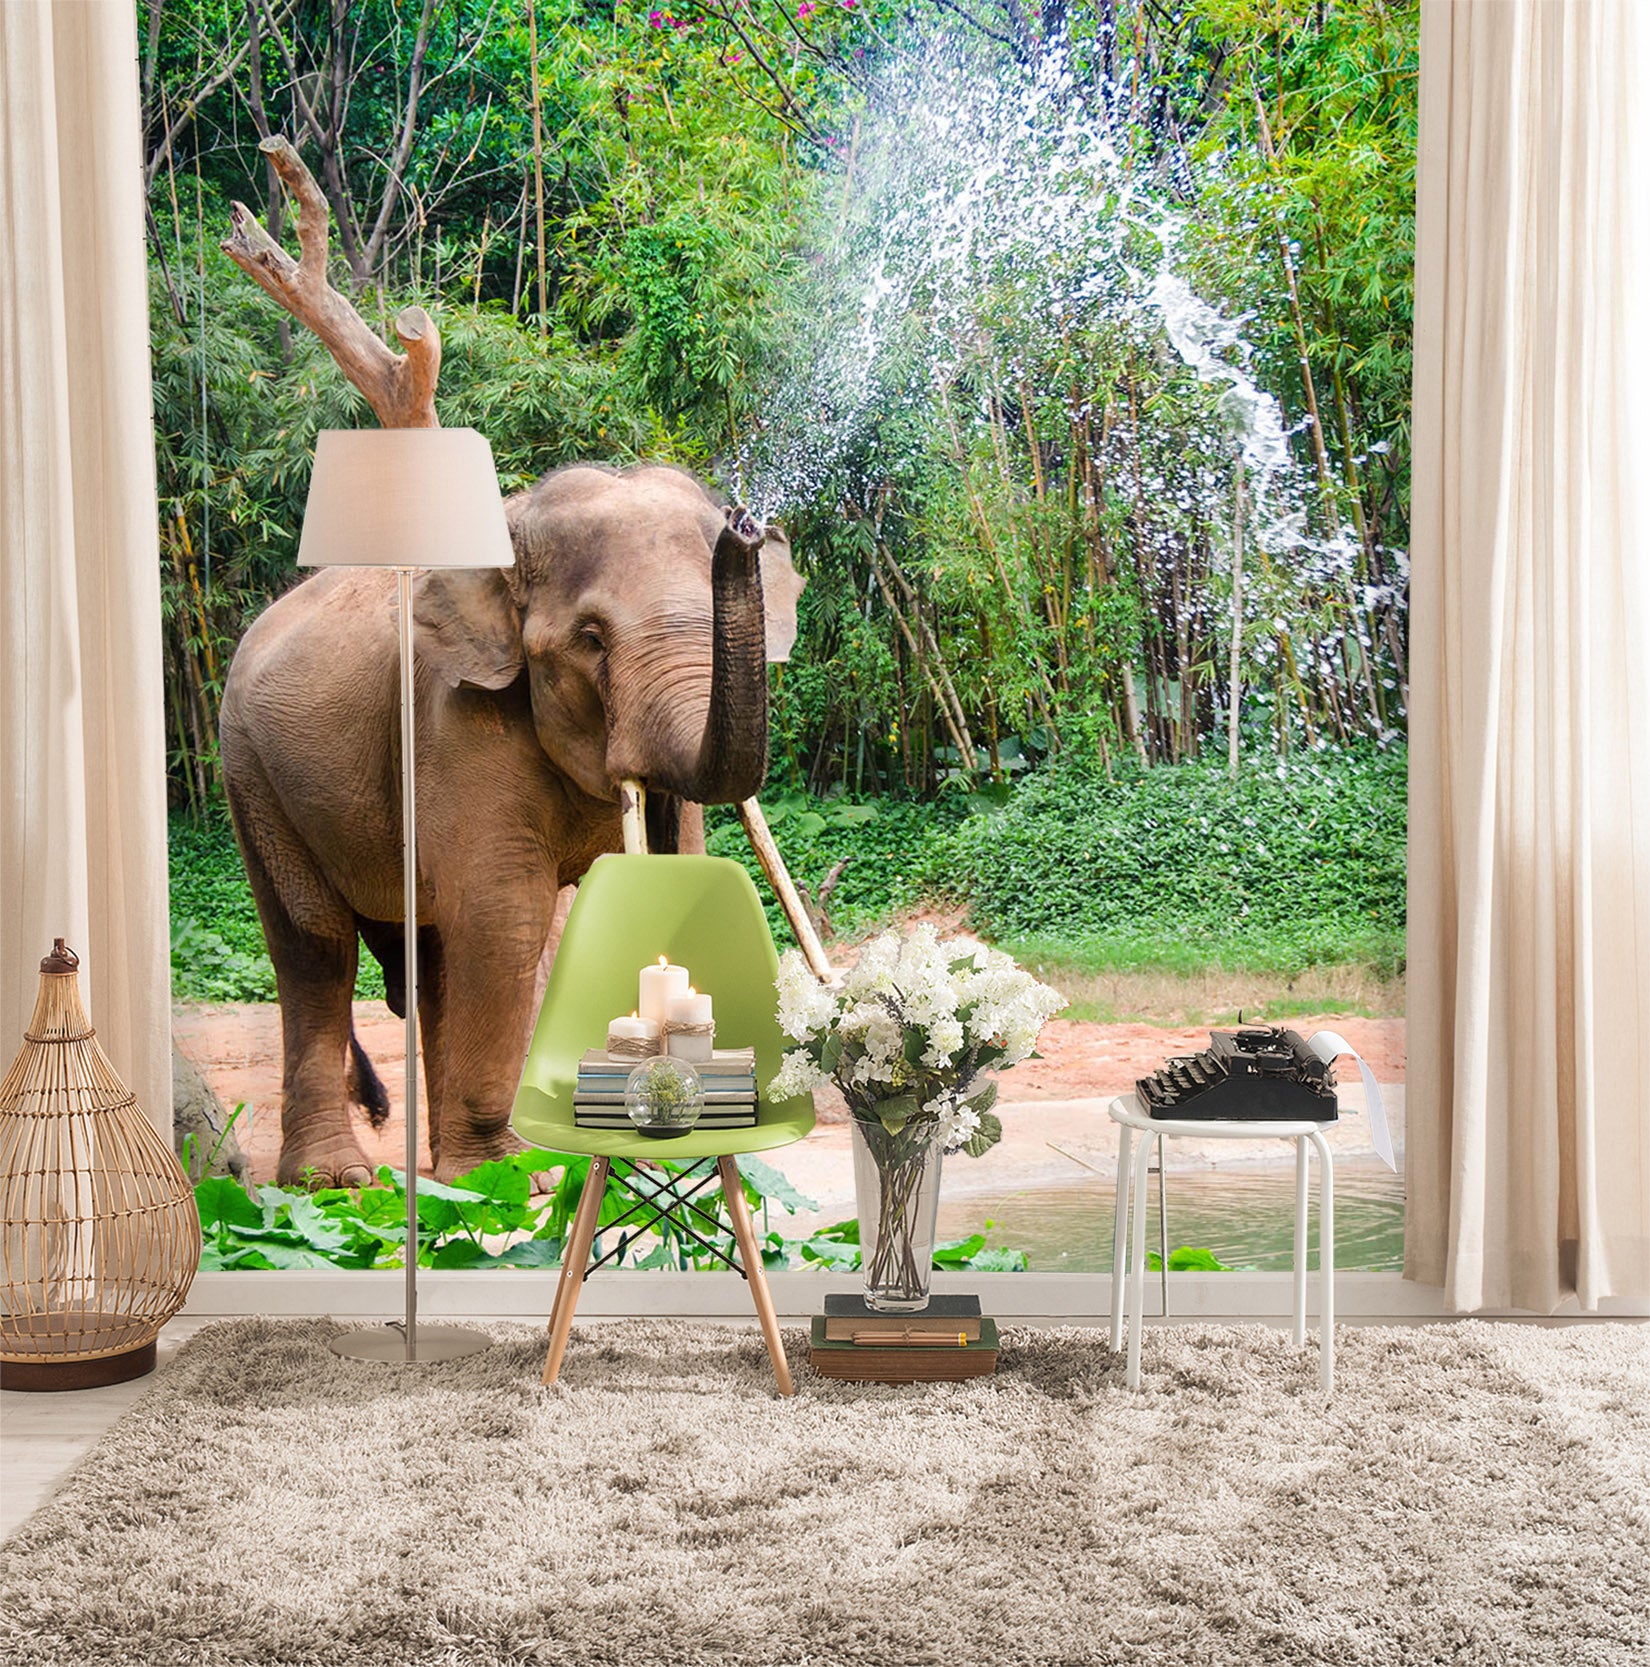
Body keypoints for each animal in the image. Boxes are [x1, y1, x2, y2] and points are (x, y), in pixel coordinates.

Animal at [219, 462, 804, 1187]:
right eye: (590, 638)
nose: (744, 524)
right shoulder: (452, 717)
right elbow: (506, 918)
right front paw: (516, 1175)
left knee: (434, 956)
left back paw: (447, 1177)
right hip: (253, 776)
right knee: (316, 947)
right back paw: (343, 1180)